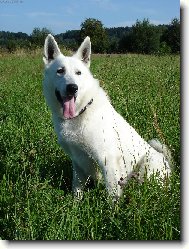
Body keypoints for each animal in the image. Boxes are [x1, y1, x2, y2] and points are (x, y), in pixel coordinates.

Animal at [43, 34, 173, 200]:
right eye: (60, 71)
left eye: (78, 73)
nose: (72, 88)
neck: (81, 112)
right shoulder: (78, 162)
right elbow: (76, 189)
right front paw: (75, 205)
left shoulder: (107, 161)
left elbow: (112, 195)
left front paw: (113, 208)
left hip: (148, 165)